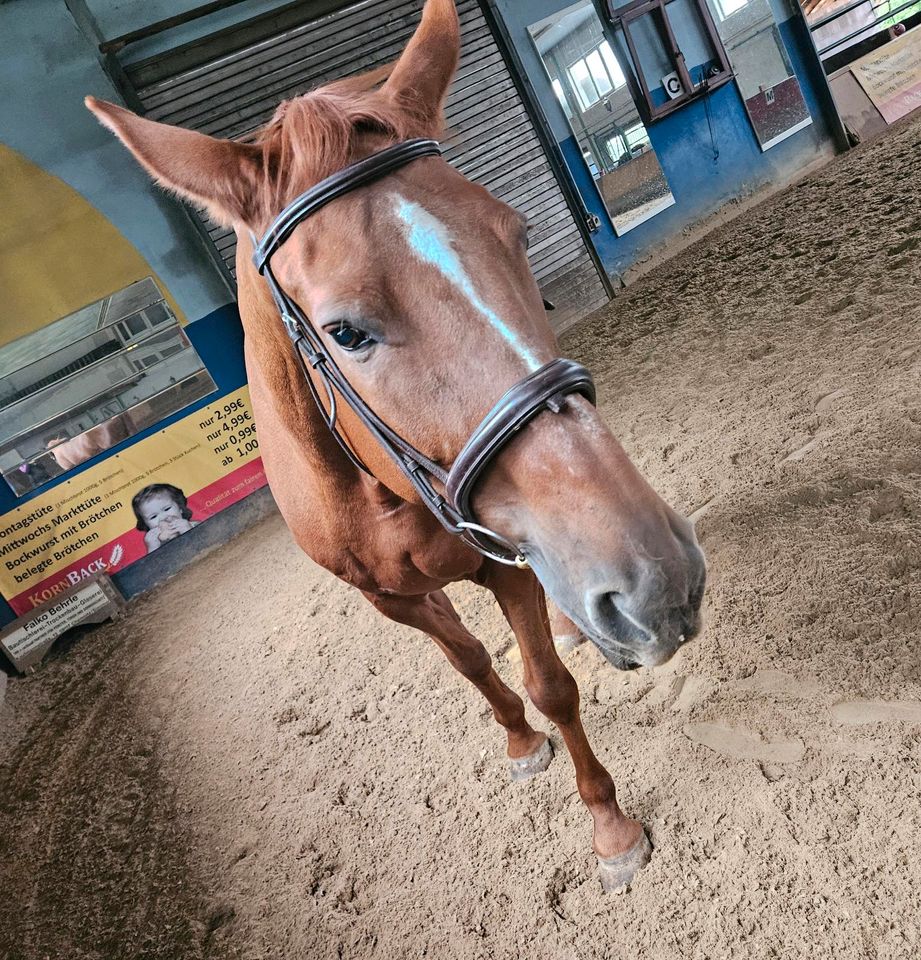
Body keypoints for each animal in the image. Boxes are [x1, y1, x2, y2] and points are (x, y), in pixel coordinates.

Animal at [88, 0, 704, 892]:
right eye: (344, 331)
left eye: (518, 237)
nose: (660, 580)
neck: (370, 487)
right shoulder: (389, 597)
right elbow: (471, 663)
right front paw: (521, 746)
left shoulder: (502, 559)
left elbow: (548, 683)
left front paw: (609, 826)